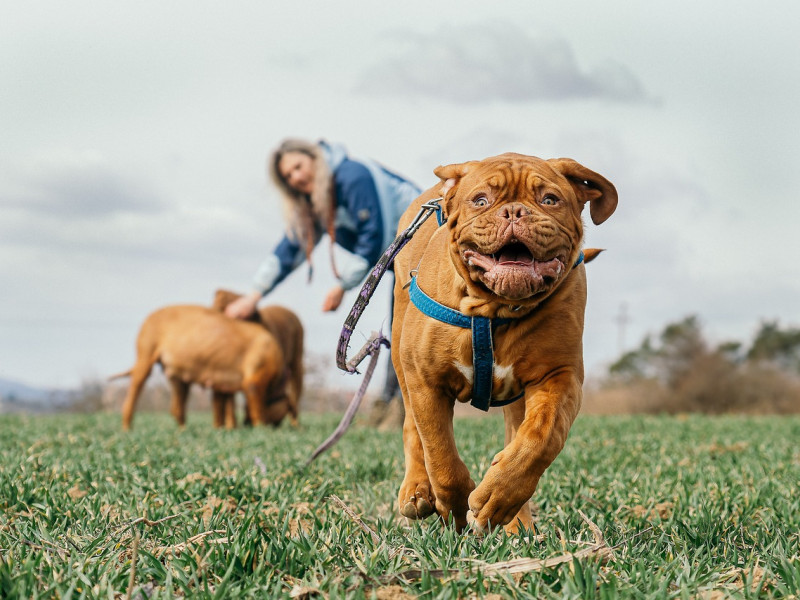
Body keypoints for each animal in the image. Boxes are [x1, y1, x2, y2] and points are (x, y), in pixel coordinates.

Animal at [112, 308, 288, 428]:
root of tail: (148, 318)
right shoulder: (255, 382)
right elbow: (257, 409)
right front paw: (260, 428)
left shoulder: (224, 385)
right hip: (146, 356)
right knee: (133, 394)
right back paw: (127, 427)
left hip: (178, 377)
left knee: (176, 408)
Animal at [392, 152, 620, 532]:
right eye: (480, 200)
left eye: (549, 200)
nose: (514, 212)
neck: (494, 308)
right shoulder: (427, 381)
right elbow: (440, 454)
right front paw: (455, 509)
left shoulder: (559, 376)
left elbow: (541, 437)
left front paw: (496, 497)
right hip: (400, 355)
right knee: (412, 427)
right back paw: (417, 490)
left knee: (517, 434)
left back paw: (516, 522)